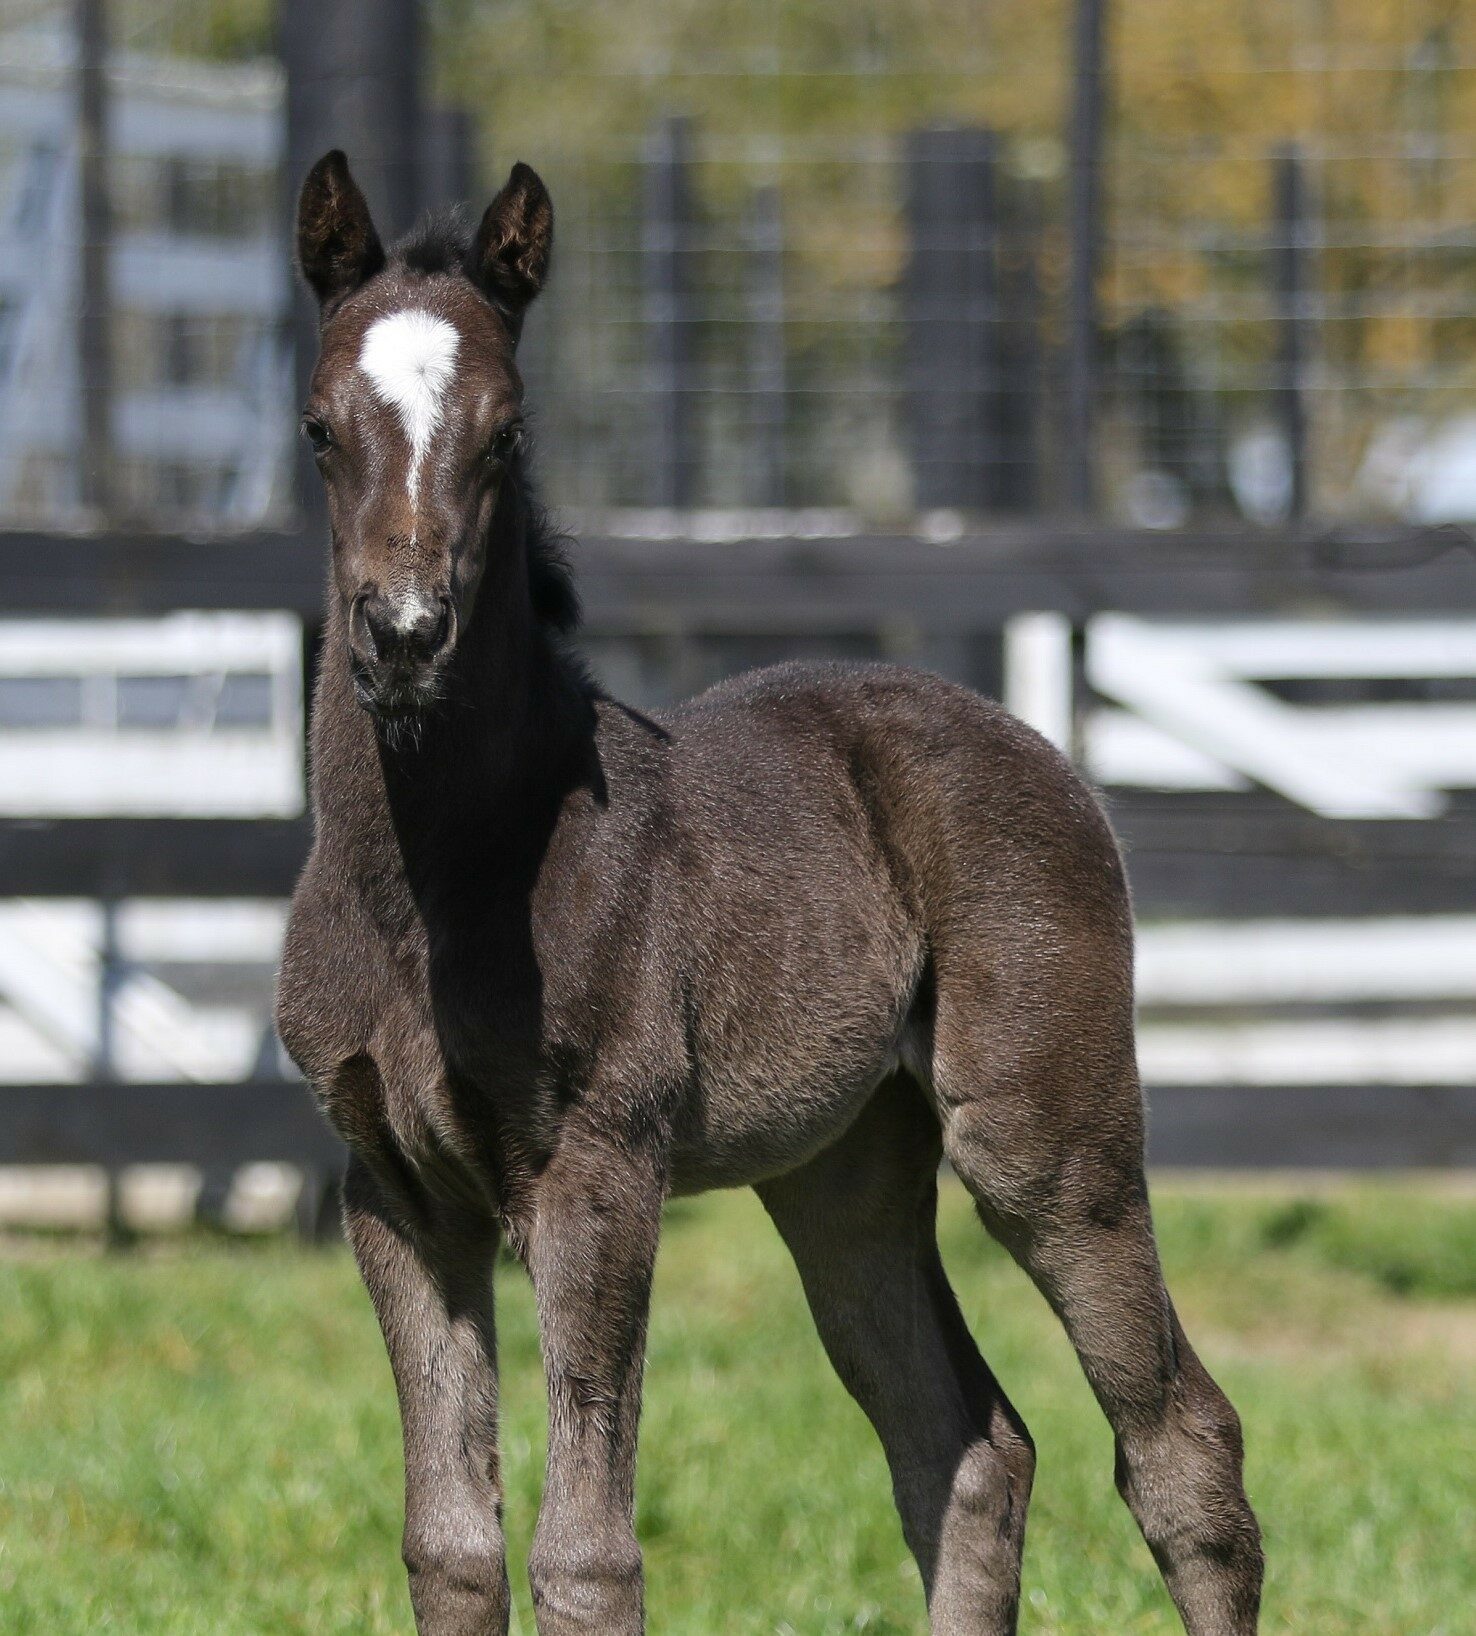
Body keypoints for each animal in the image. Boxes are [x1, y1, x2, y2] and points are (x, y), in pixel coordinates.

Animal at [274, 147, 1256, 1629]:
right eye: (323, 426)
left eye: (507, 434)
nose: (401, 635)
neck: (440, 882)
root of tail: (1038, 748)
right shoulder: (393, 1189)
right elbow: (451, 1543)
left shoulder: (598, 1168)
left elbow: (585, 1553)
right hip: (839, 1169)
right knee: (966, 1446)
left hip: (1043, 1134)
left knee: (1180, 1445)